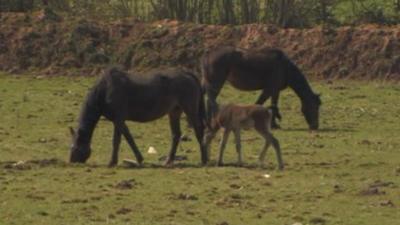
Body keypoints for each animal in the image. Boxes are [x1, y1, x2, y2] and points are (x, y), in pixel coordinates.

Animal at [69, 67, 208, 165]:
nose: (72, 161)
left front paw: (114, 161)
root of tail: (188, 73)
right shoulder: (119, 120)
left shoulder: (118, 119)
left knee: (199, 130)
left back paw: (204, 159)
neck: (104, 91)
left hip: (190, 109)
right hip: (174, 111)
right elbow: (126, 138)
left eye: (75, 147)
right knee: (176, 134)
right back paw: (168, 160)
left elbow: (119, 140)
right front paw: (137, 159)